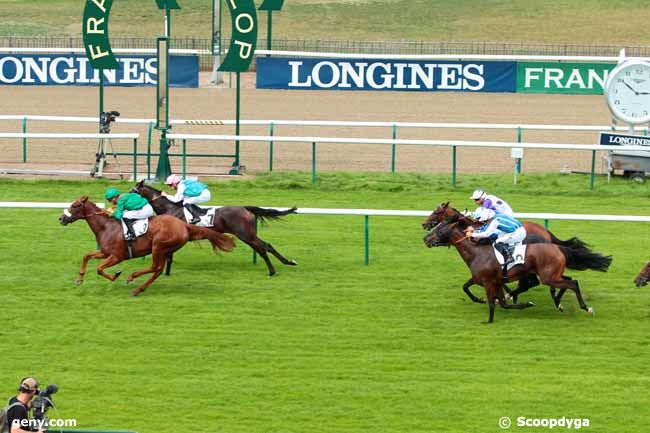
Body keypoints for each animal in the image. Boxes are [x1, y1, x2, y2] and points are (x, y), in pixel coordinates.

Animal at [58, 195, 234, 294]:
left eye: (75, 205)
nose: (61, 218)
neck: (106, 227)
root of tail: (184, 225)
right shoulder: (105, 253)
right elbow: (86, 256)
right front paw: (79, 279)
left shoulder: (117, 256)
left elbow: (99, 269)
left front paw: (116, 275)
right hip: (165, 250)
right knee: (158, 270)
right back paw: (139, 289)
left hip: (158, 246)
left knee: (155, 267)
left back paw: (132, 278)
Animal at [130, 180, 296, 276]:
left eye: (133, 190)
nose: (124, 197)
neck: (170, 208)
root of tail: (245, 208)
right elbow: (169, 257)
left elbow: (168, 256)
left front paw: (165, 273)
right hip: (249, 235)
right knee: (265, 247)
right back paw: (285, 264)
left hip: (245, 235)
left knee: (263, 248)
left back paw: (275, 269)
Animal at [422, 214, 612, 322]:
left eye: (440, 230)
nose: (425, 238)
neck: (477, 252)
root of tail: (557, 247)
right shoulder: (486, 280)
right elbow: (468, 288)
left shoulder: (489, 282)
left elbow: (496, 301)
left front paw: (490, 318)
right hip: (552, 275)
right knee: (570, 280)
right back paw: (560, 303)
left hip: (548, 277)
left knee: (571, 284)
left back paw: (585, 307)